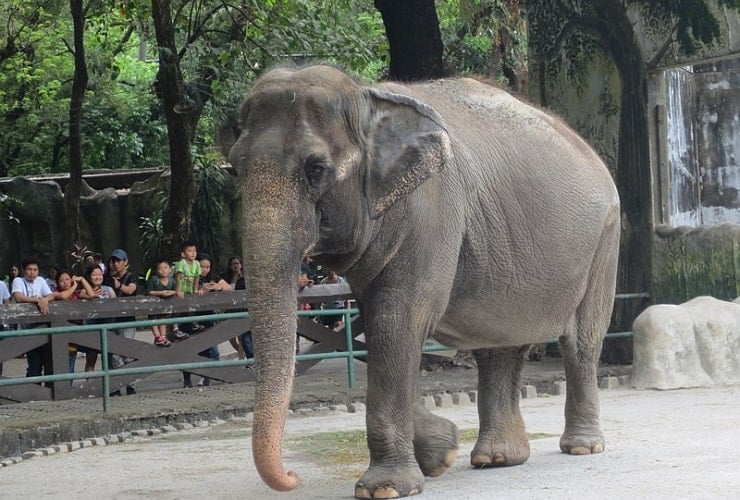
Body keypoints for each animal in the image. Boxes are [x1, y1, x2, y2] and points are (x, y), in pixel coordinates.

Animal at [228, 64, 620, 498]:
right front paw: (440, 453)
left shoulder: (433, 211)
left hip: (605, 240)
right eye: (234, 169)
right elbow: (381, 325)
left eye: (316, 169)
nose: (293, 477)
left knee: (581, 341)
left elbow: (397, 320)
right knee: (500, 344)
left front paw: (385, 488)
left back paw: (582, 448)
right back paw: (497, 458)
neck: (367, 99)